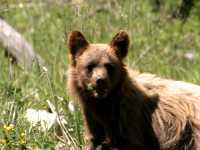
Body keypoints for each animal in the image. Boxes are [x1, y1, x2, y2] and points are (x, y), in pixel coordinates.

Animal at [66, 30, 200, 150]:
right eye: (90, 66)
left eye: (109, 66)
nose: (100, 80)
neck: (105, 103)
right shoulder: (92, 118)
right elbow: (95, 140)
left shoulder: (129, 117)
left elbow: (130, 142)